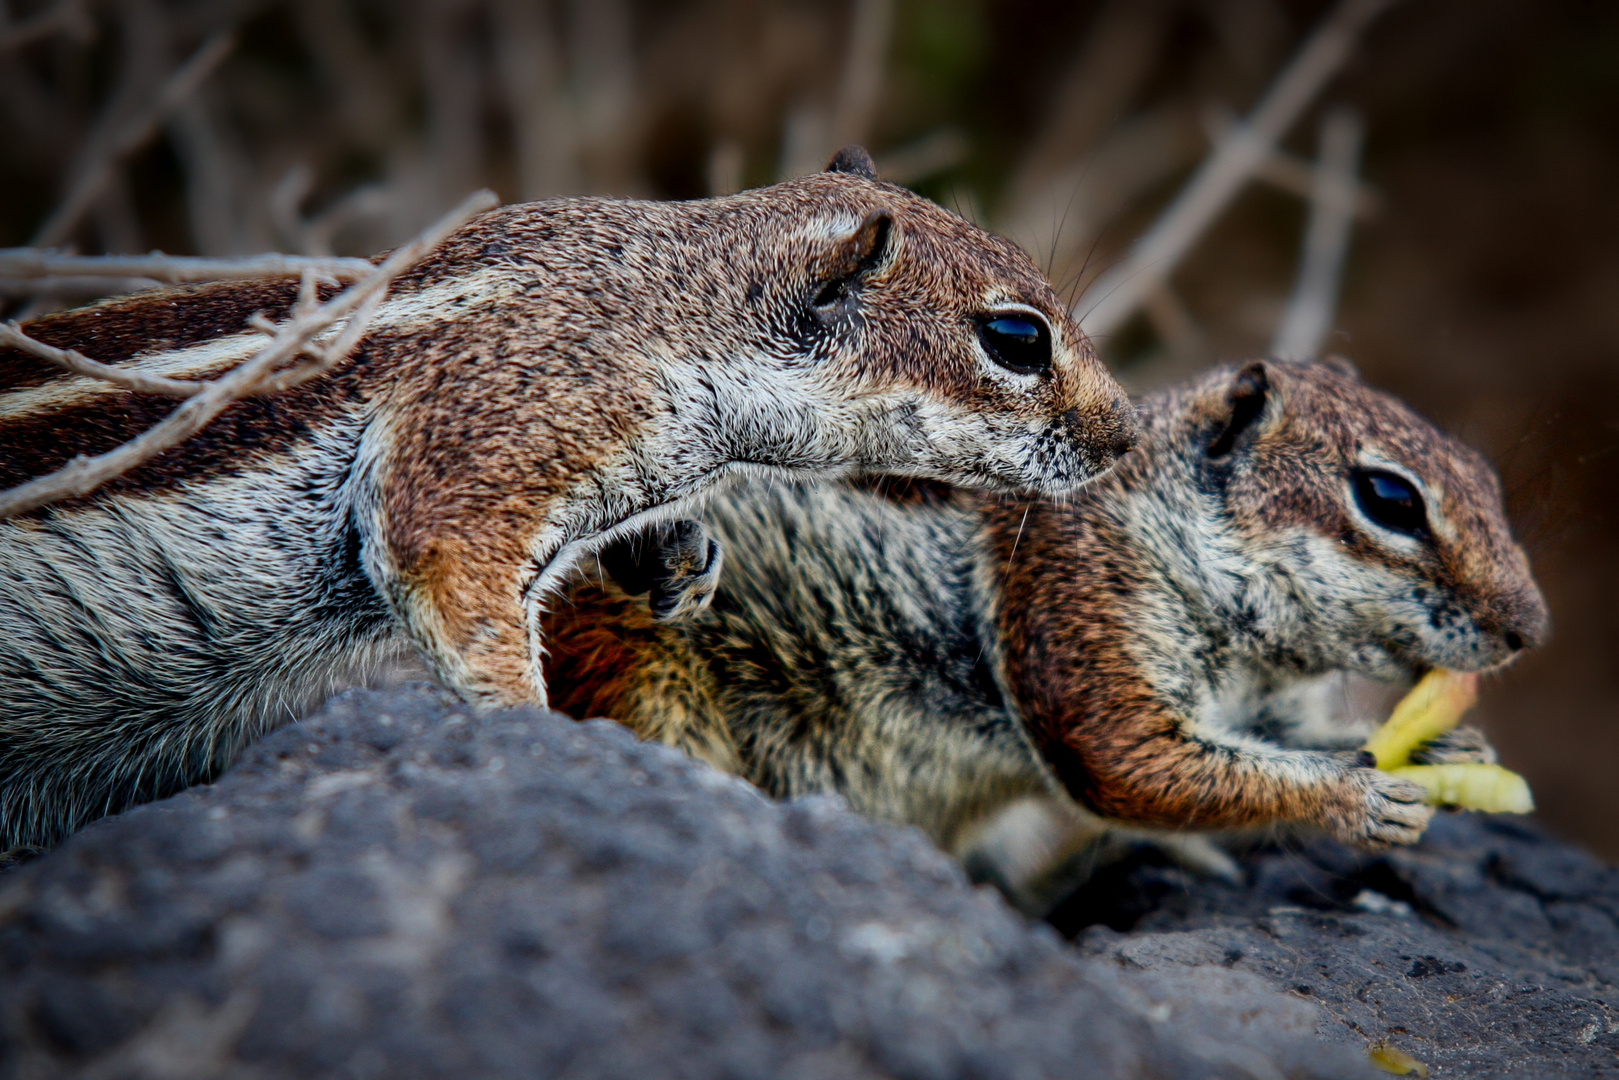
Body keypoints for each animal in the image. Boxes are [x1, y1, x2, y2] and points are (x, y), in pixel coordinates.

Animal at [0, 148, 1139, 848]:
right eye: (1015, 338)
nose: (1125, 435)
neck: (658, 301)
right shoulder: (491, 430)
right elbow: (447, 570)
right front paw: (531, 733)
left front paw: (676, 559)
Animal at [550, 361, 1547, 913]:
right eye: (1388, 499)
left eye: (1485, 476)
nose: (1529, 629)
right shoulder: (1073, 597)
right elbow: (1130, 760)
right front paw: (1355, 799)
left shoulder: (1257, 702)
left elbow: (1281, 738)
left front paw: (1451, 747)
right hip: (642, 674)